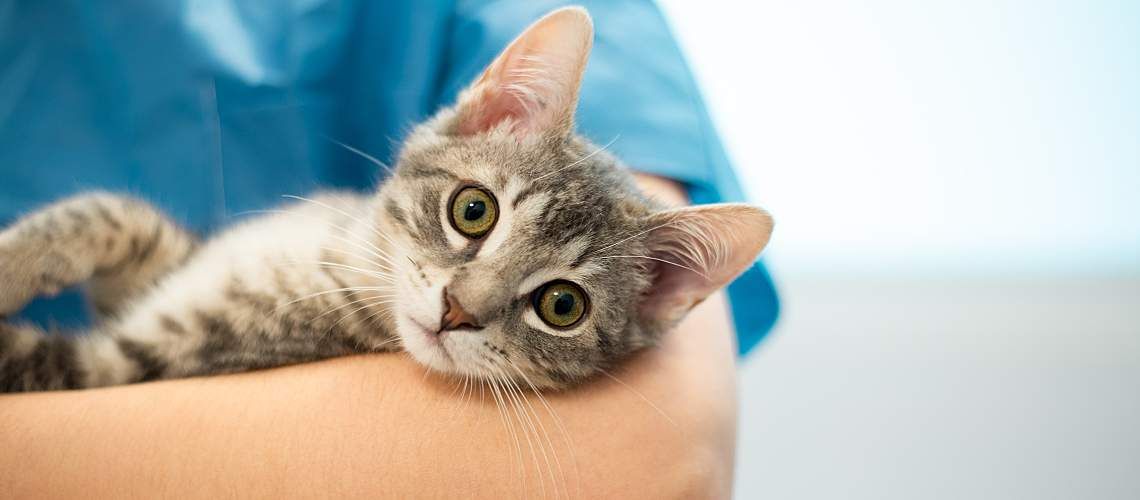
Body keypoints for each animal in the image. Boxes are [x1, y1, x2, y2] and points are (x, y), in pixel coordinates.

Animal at [0, 5, 775, 394]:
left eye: (563, 306)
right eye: (473, 210)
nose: (457, 310)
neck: (337, 253)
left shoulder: (130, 363)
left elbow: (30, 358)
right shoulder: (160, 267)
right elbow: (114, 215)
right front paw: (18, 257)